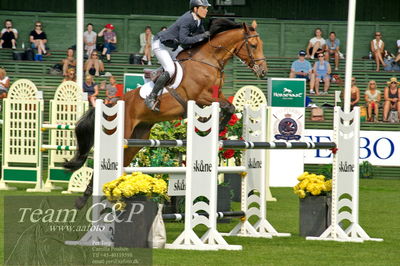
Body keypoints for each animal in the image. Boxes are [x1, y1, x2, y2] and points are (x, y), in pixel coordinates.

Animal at [64, 18, 268, 208]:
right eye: (253, 45)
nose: (263, 72)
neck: (208, 61)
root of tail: (112, 102)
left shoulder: (216, 96)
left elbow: (230, 107)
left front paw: (217, 130)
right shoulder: (200, 97)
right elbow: (227, 108)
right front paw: (216, 129)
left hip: (137, 139)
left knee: (124, 160)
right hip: (121, 132)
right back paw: (84, 200)